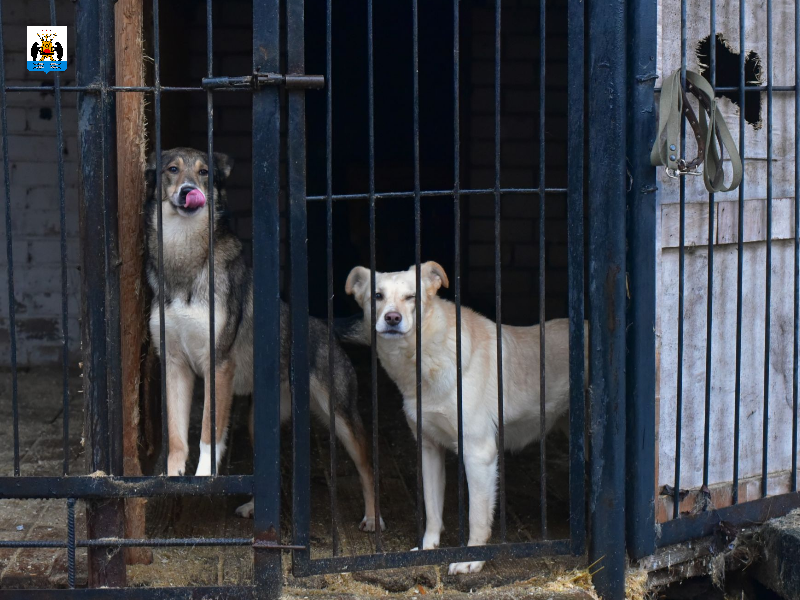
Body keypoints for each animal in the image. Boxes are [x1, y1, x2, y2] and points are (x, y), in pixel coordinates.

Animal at [346, 262, 588, 572]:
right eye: (377, 296)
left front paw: (471, 559)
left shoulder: (478, 453)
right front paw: (427, 547)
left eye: (412, 297)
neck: (425, 359)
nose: (392, 318)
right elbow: (432, 510)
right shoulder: (429, 449)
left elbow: (477, 517)